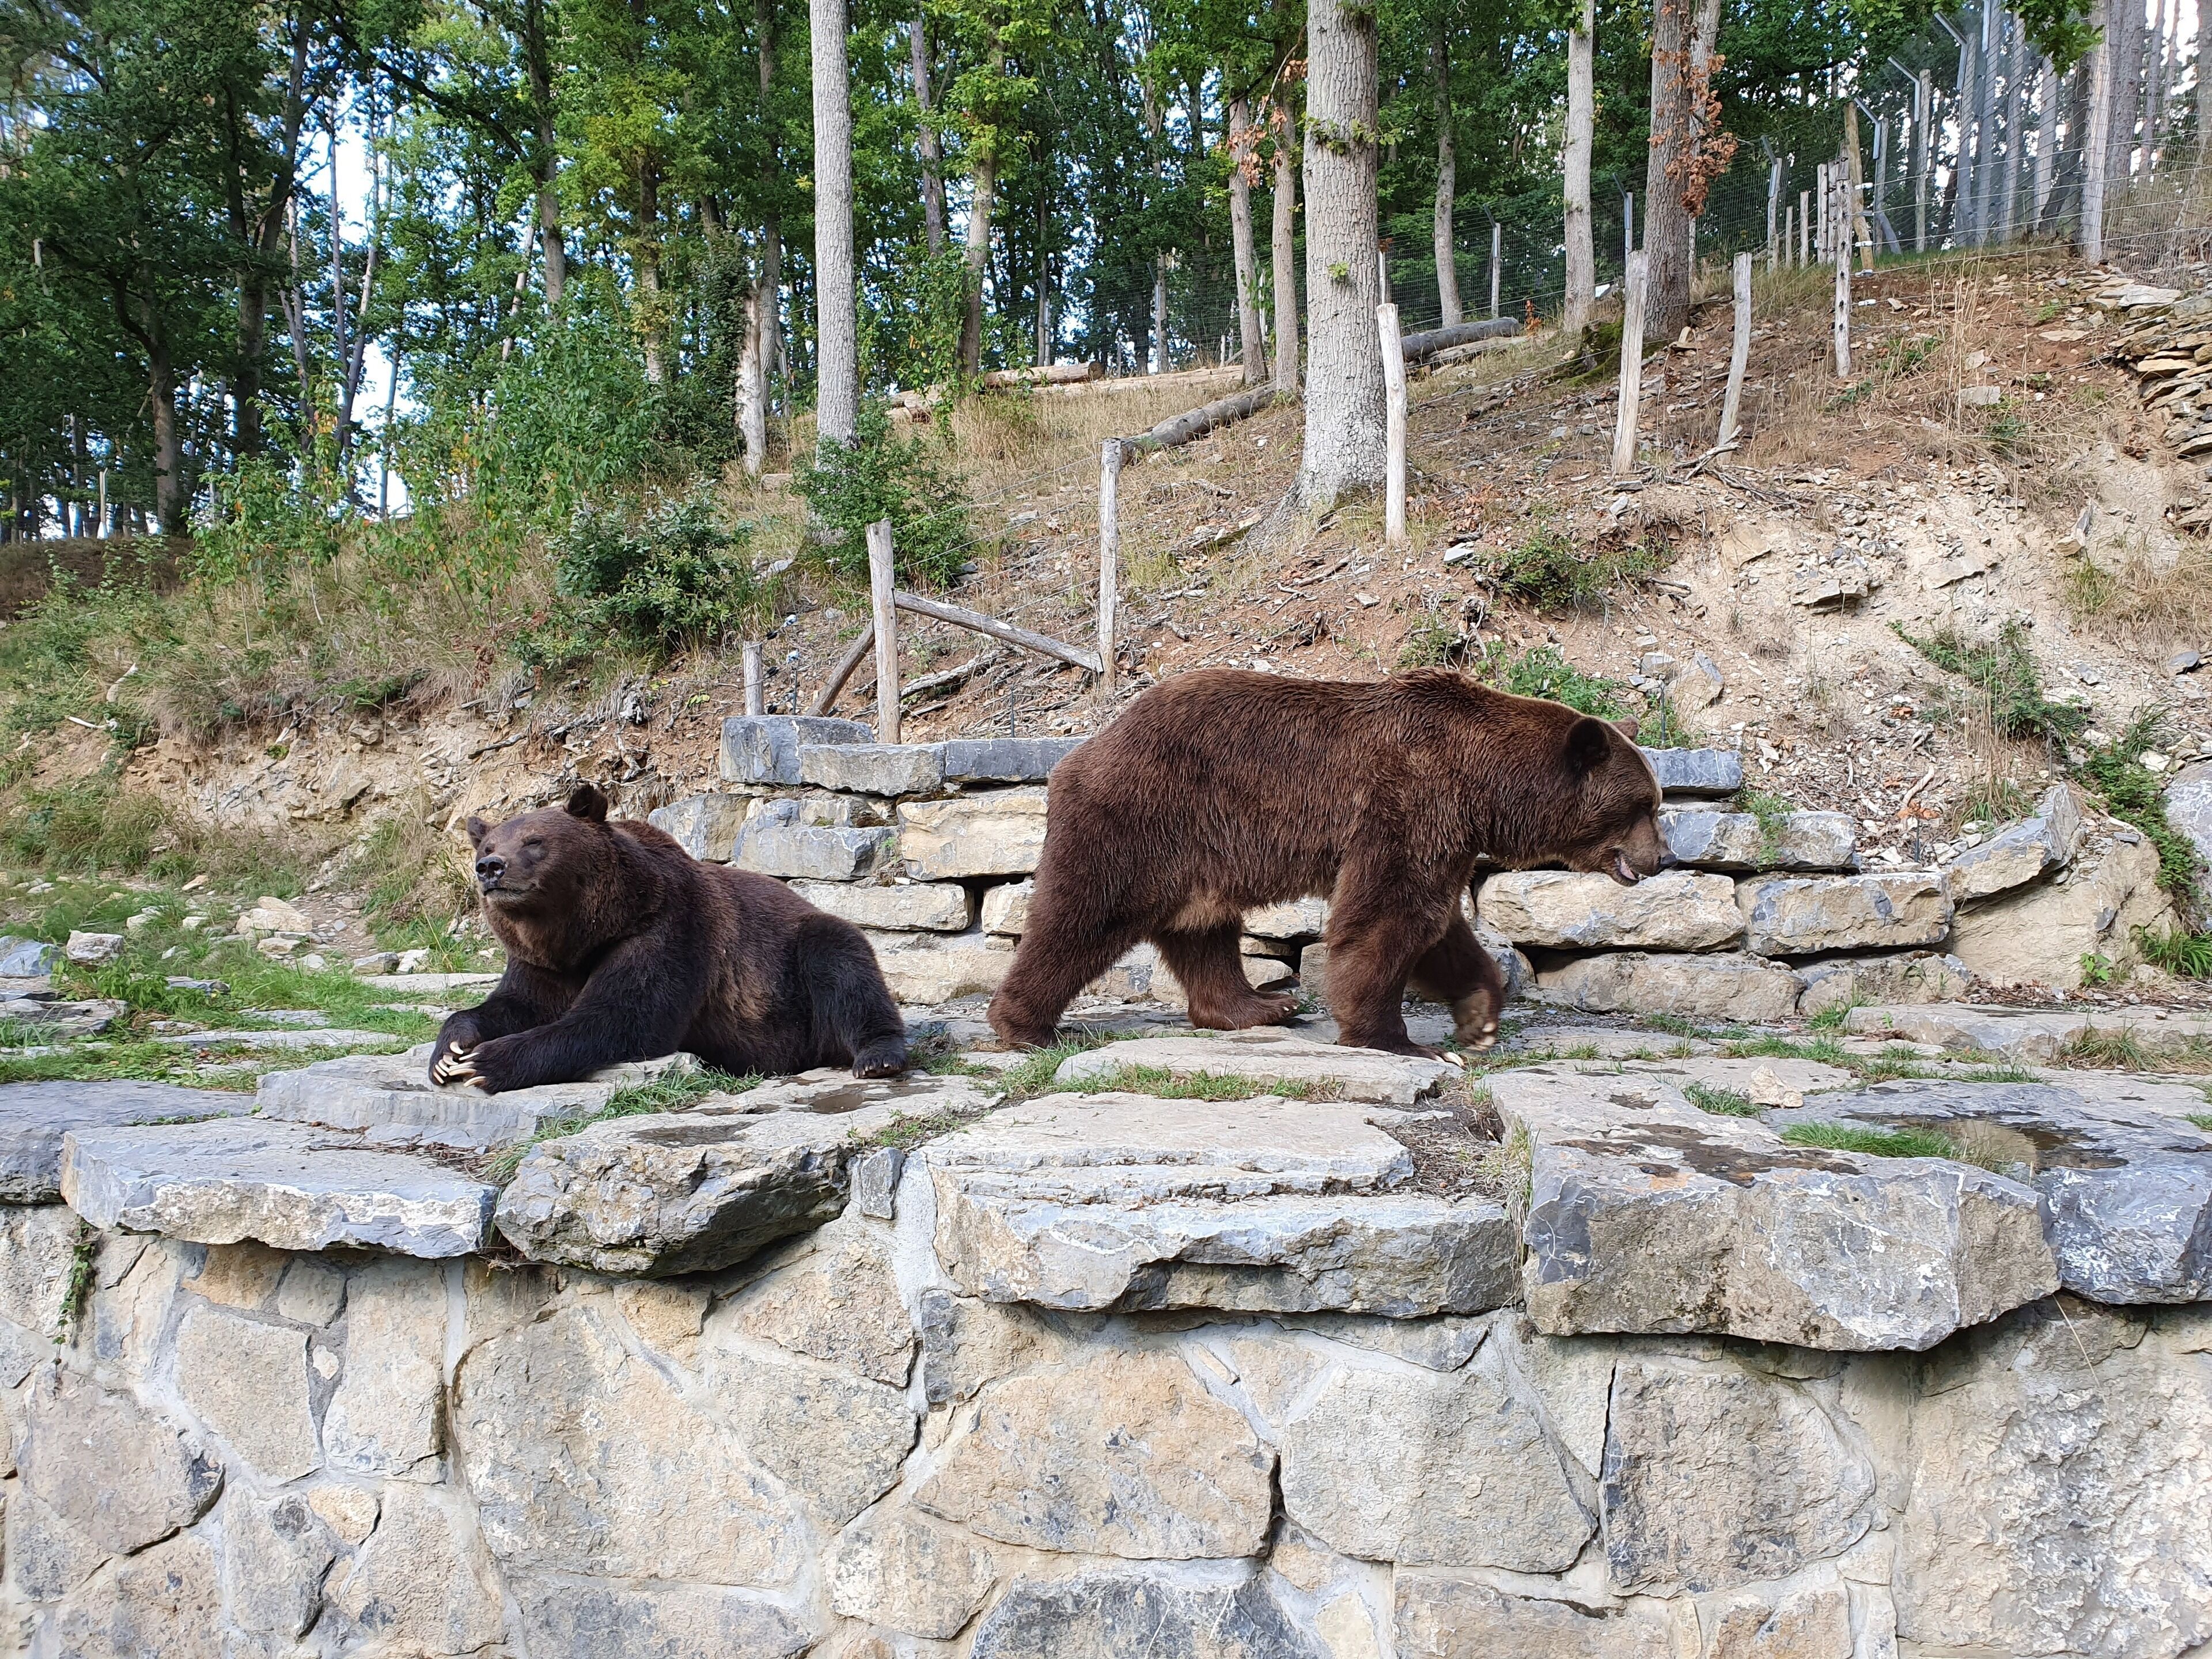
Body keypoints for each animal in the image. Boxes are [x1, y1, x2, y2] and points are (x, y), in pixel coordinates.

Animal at [430, 784, 907, 1092]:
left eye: (534, 841)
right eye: (488, 844)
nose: (490, 868)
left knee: (842, 959)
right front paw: (449, 1052)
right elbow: (516, 1003)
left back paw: (877, 1057)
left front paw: (487, 1062)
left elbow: (624, 1018)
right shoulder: (541, 962)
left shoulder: (666, 930)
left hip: (795, 971)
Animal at [987, 667, 1671, 1058]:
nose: (1664, 856)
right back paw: (1025, 1027)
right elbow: (1389, 919)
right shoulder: (1411, 802)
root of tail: (1086, 747)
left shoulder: (1446, 833)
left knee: (1202, 930)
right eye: (1642, 804)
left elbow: (1439, 925)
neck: (1485, 787)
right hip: (1143, 815)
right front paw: (1397, 1040)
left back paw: (1258, 1007)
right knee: (1083, 916)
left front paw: (1478, 1019)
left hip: (1202, 851)